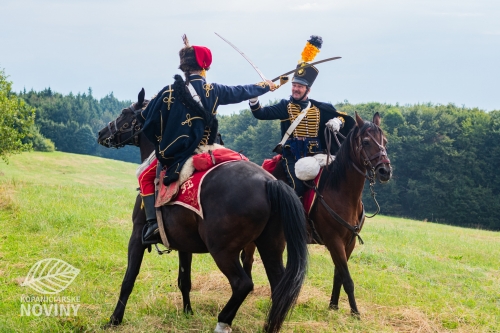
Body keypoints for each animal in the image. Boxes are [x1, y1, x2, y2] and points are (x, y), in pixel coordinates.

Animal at [97, 89, 308, 332]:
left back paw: (223, 320)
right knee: (278, 287)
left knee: (243, 284)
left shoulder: (137, 236)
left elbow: (129, 279)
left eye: (125, 112)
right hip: (270, 246)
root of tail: (269, 182)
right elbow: (184, 280)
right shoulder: (183, 244)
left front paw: (115, 319)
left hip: (223, 250)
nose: (102, 132)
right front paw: (187, 312)